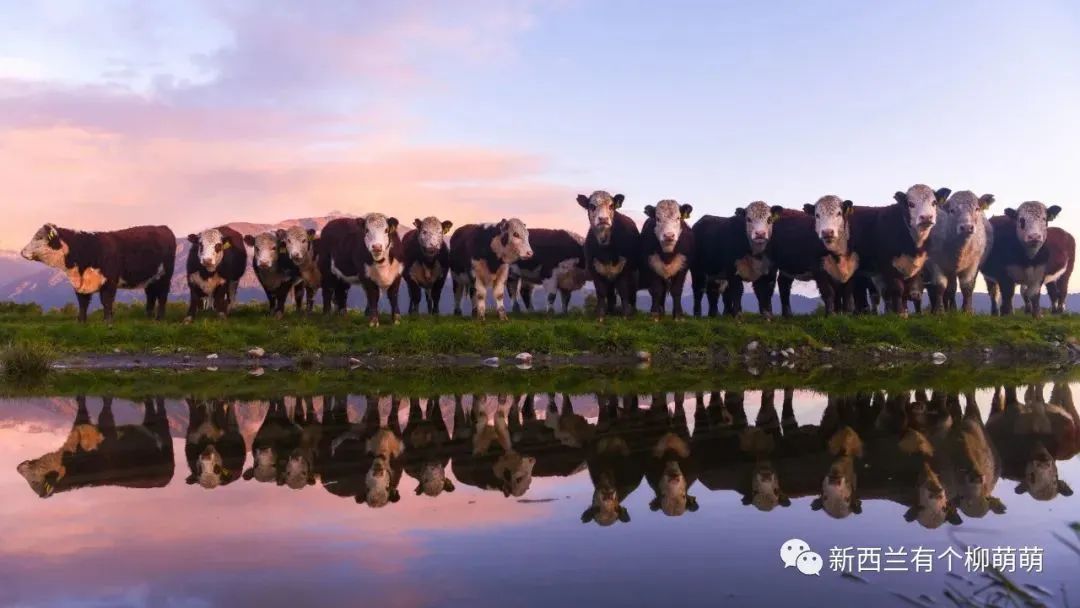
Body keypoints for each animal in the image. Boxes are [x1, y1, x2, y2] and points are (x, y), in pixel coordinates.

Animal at [14, 395, 173, 498]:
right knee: (151, 410)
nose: (18, 467)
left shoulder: (106, 435)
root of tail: (167, 479)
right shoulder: (81, 425)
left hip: (164, 437)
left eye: (34, 482)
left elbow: (104, 409)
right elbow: (85, 407)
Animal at [20, 221, 174, 321]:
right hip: (151, 279)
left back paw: (160, 318)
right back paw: (148, 318)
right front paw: (81, 322)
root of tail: (162, 227)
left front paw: (107, 322)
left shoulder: (110, 281)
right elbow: (82, 304)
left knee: (162, 296)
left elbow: (106, 302)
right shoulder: (80, 285)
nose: (22, 252)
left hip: (165, 276)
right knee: (151, 296)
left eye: (39, 237)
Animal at [574, 192, 639, 321]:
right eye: (592, 206)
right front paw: (600, 315)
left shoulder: (625, 269)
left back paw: (633, 311)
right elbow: (601, 293)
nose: (603, 219)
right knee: (610, 295)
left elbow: (624, 291)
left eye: (611, 205)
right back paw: (610, 311)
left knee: (632, 292)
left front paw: (626, 315)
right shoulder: (595, 270)